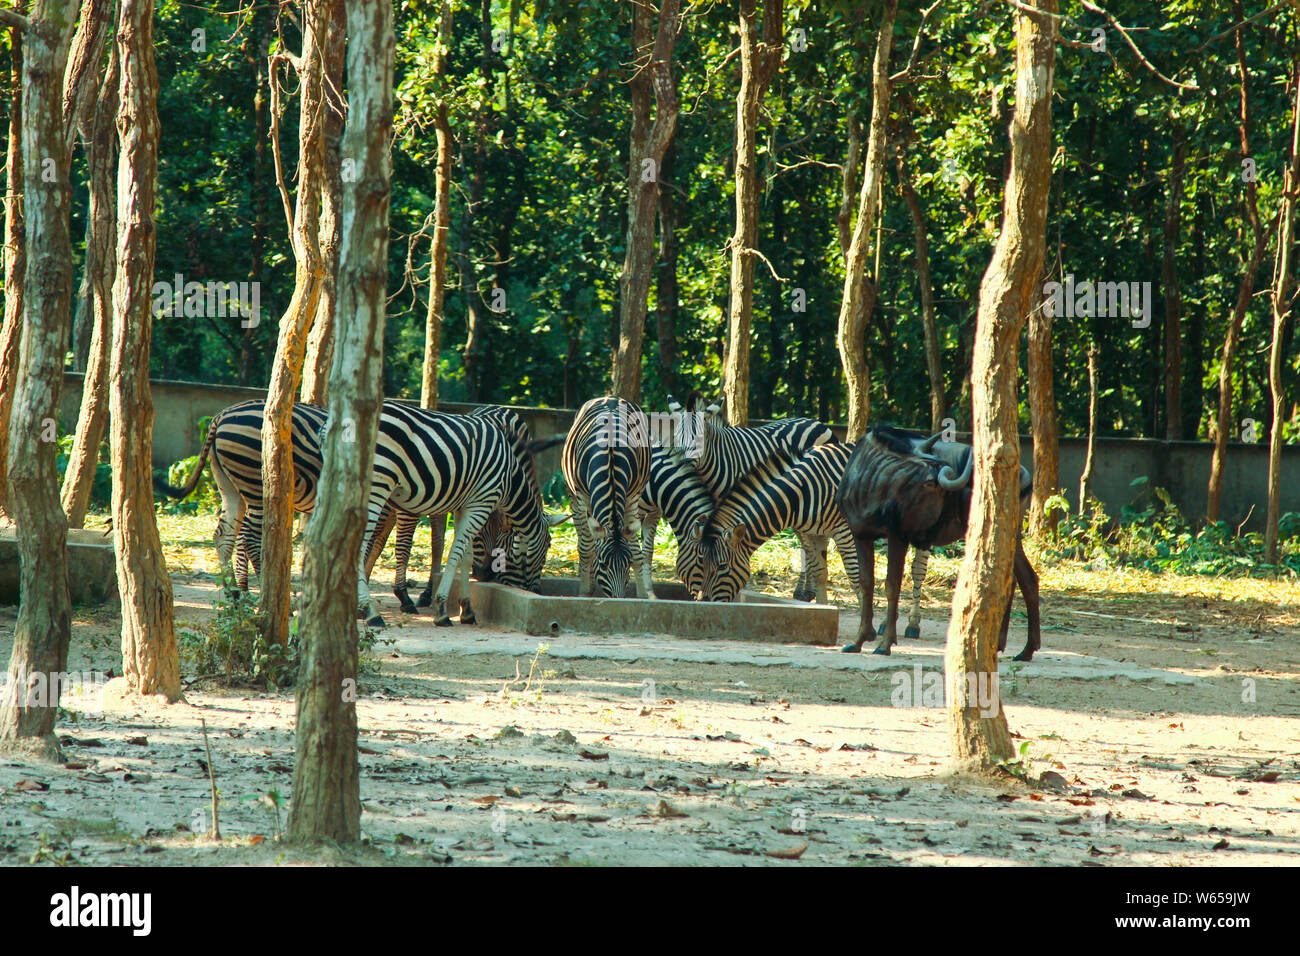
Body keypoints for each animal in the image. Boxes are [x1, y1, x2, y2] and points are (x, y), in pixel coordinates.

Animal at [564, 392, 655, 595]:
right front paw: (584, 592)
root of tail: (610, 396)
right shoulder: (582, 498)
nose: (618, 599)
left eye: (627, 564)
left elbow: (636, 550)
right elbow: (587, 549)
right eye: (604, 565)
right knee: (584, 540)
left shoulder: (632, 498)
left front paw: (642, 596)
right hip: (574, 499)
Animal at [681, 392, 842, 600]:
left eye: (699, 438)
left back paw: (805, 591)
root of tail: (816, 422)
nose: (682, 462)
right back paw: (805, 591)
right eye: (675, 436)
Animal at [702, 439, 863, 624]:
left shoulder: (845, 530)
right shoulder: (813, 534)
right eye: (703, 564)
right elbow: (820, 574)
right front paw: (823, 612)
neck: (801, 492)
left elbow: (857, 577)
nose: (704, 604)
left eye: (722, 566)